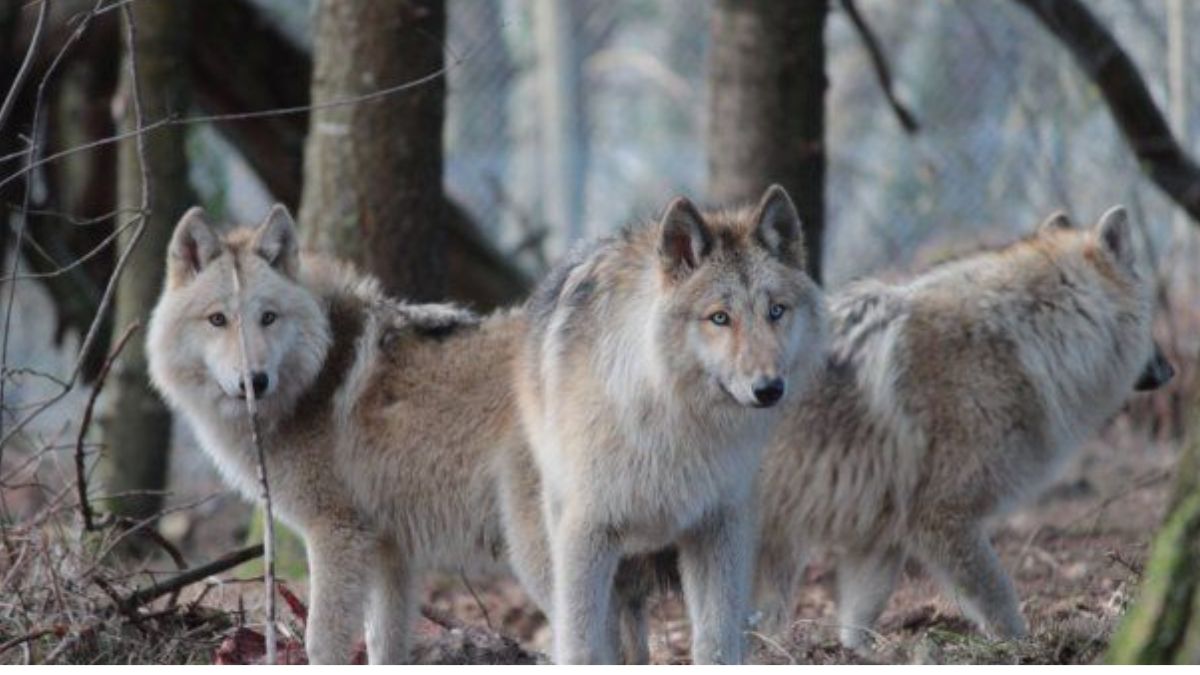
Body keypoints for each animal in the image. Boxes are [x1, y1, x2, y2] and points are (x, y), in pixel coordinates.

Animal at [146, 205, 530, 664]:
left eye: (268, 317)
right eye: (217, 320)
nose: (255, 382)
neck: (314, 378)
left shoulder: (336, 533)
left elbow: (321, 640)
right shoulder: (389, 550)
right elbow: (383, 642)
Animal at [502, 185, 828, 664]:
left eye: (775, 311)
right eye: (719, 317)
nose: (769, 389)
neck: (673, 419)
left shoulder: (717, 527)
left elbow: (715, 643)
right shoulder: (588, 530)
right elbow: (582, 646)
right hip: (550, 557)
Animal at [752, 206, 1174, 649]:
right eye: (1150, 323)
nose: (1172, 370)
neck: (1025, 338)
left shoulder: (880, 536)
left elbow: (858, 619)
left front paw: (858, 653)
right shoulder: (944, 517)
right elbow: (999, 597)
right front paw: (1020, 648)